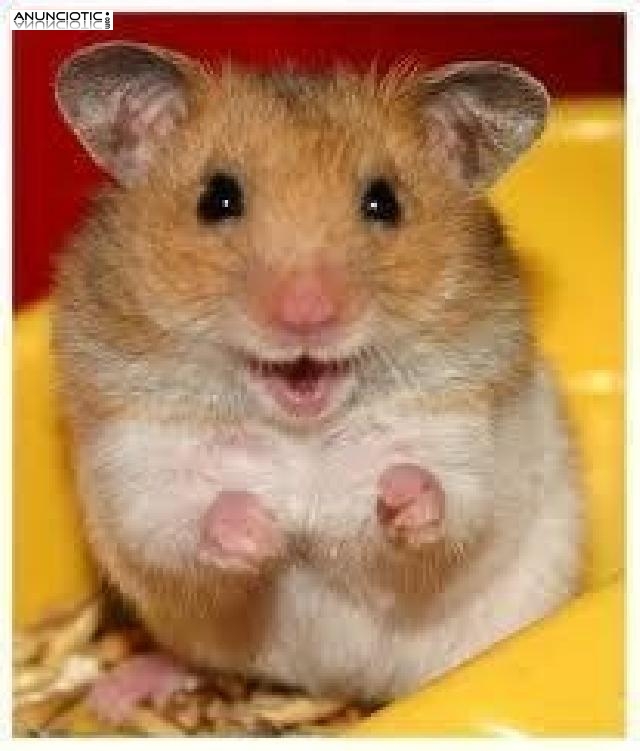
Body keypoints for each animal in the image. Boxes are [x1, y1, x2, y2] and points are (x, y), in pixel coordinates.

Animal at [51, 41, 582, 718]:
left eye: (384, 202)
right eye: (216, 199)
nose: (307, 315)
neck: (301, 428)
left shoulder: (465, 435)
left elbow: (453, 497)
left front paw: (399, 495)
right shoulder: (139, 459)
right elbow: (176, 516)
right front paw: (263, 531)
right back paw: (117, 694)